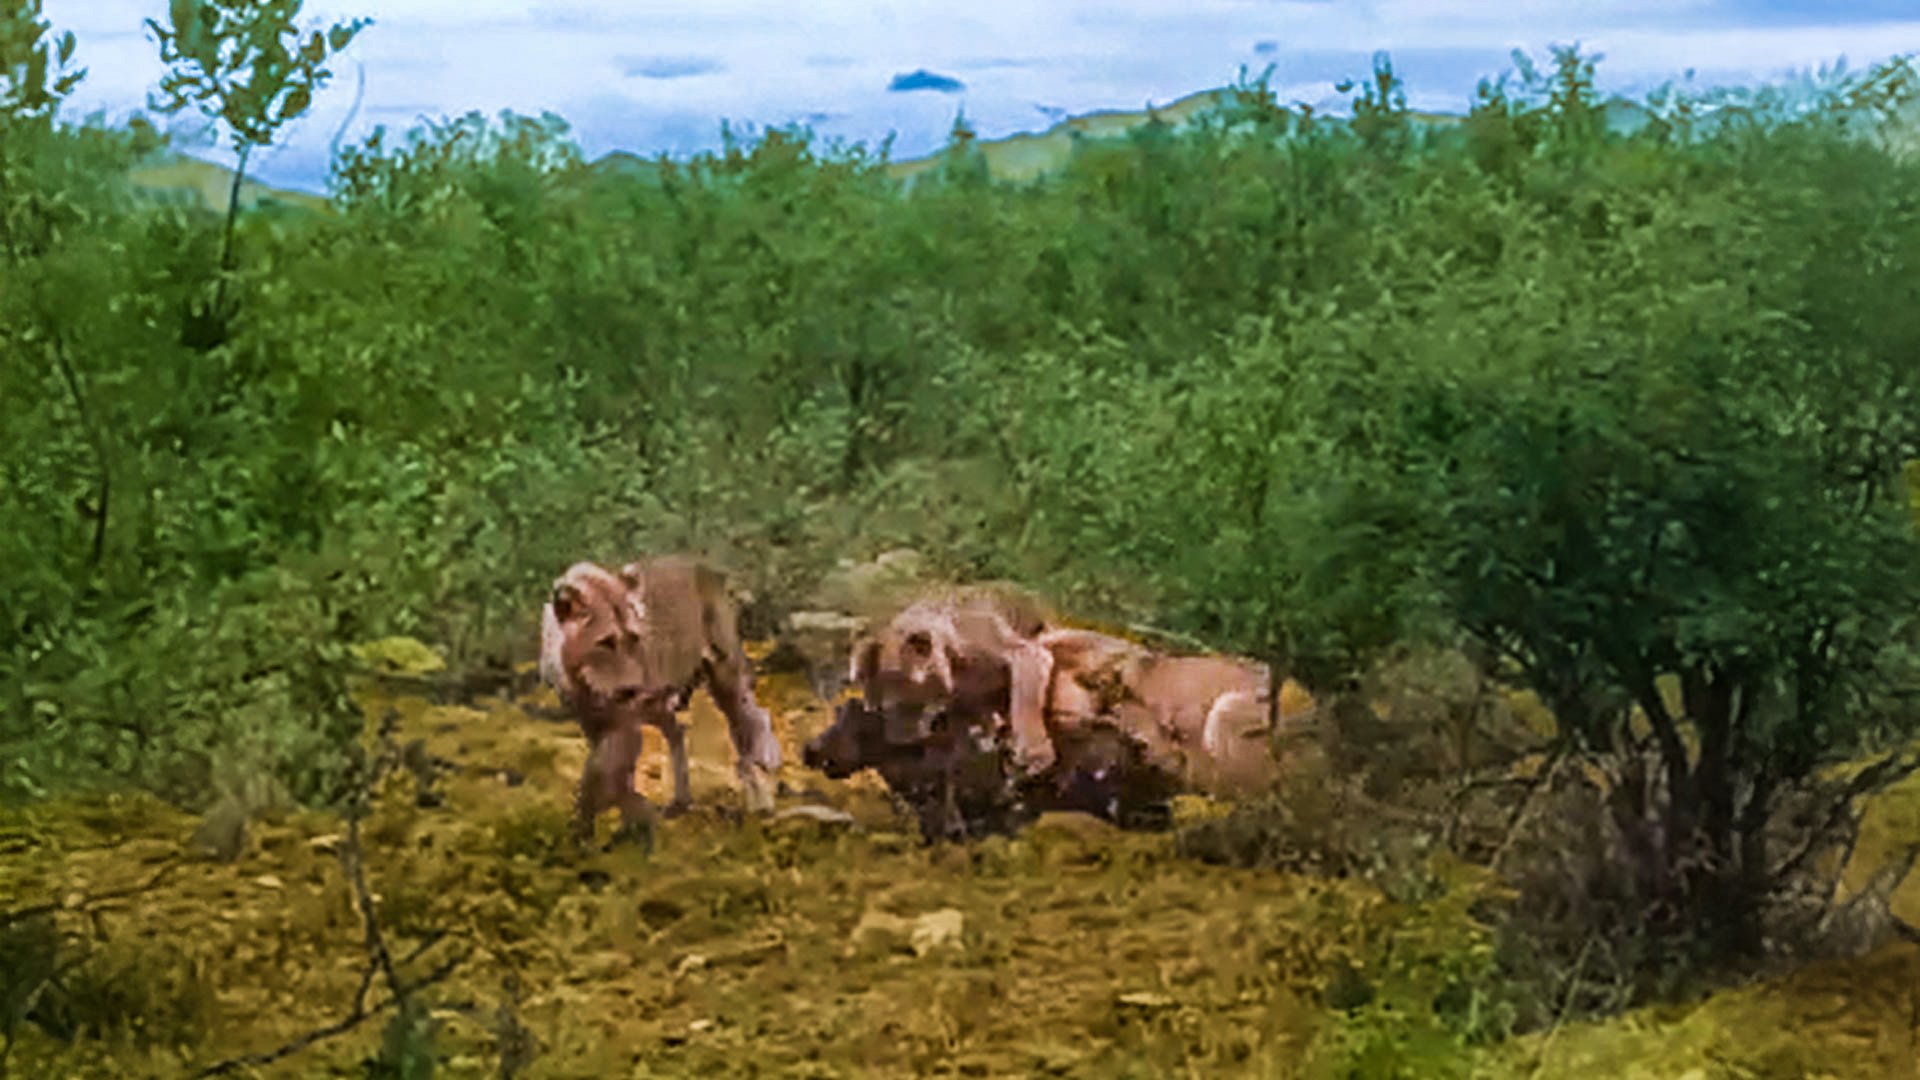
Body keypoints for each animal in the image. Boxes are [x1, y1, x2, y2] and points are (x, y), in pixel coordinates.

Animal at [539, 556, 781, 842]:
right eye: (605, 642)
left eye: (634, 638)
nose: (634, 688)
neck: (583, 684)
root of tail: (701, 566)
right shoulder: (592, 723)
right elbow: (601, 773)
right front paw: (589, 828)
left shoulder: (624, 724)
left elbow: (604, 772)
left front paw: (627, 818)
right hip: (662, 707)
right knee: (678, 733)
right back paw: (680, 802)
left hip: (724, 672)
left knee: (749, 719)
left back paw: (762, 782)